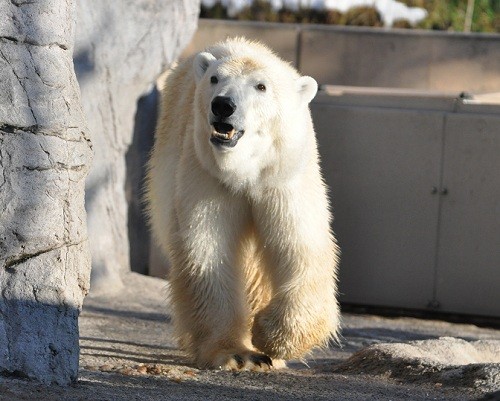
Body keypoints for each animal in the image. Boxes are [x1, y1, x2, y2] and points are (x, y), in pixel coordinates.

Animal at [145, 37, 340, 368]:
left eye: (261, 86)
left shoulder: (283, 175)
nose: (223, 105)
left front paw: (270, 336)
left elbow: (299, 246)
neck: (246, 170)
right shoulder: (208, 175)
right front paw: (236, 354)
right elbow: (209, 251)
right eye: (215, 78)